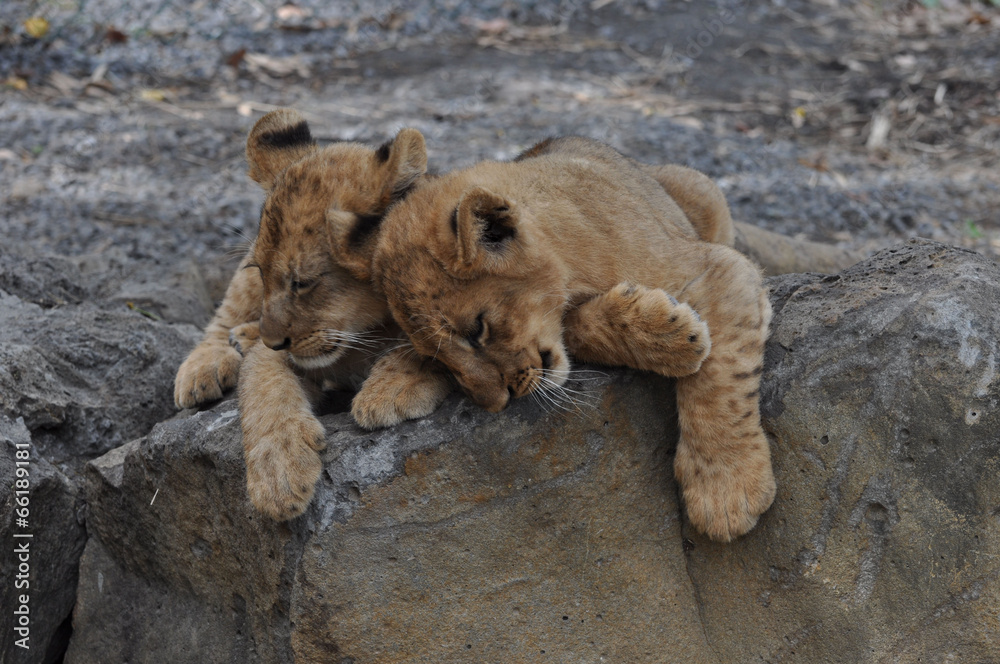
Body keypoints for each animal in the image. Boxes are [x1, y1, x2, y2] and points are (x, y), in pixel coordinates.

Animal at [367, 136, 776, 542]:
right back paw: (382, 391)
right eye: (440, 358)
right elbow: (579, 325)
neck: (568, 264)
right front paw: (667, 334)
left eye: (476, 330)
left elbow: (720, 382)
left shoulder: (716, 267)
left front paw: (725, 491)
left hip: (704, 190)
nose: (495, 404)